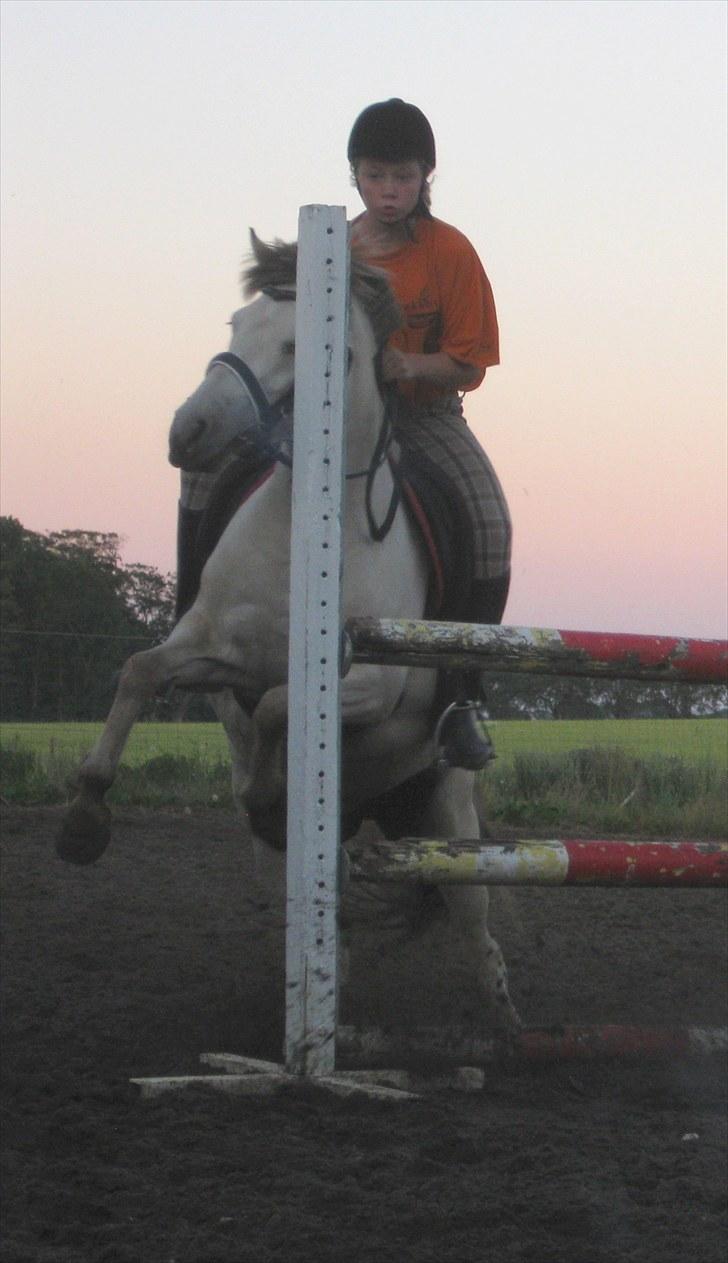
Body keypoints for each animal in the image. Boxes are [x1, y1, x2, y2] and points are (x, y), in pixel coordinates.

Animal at [59, 237, 520, 1035]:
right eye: (236, 324)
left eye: (300, 344)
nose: (187, 433)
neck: (308, 525)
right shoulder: (214, 653)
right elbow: (143, 671)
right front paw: (86, 816)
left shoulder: (373, 686)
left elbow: (283, 703)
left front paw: (272, 782)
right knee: (321, 913)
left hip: (449, 814)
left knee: (473, 918)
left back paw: (506, 1022)